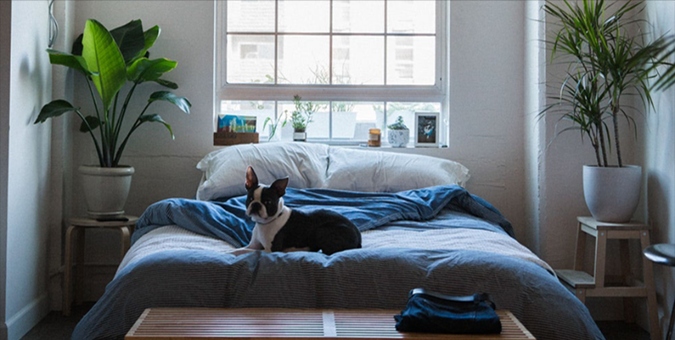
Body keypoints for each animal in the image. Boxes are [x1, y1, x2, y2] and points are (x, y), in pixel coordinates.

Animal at [230, 166, 362, 256]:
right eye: (250, 199)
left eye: (268, 202)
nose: (256, 205)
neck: (266, 223)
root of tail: (359, 238)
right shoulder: (253, 245)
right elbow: (239, 250)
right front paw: (229, 253)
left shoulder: (270, 250)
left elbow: (251, 252)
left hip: (321, 230)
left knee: (326, 251)